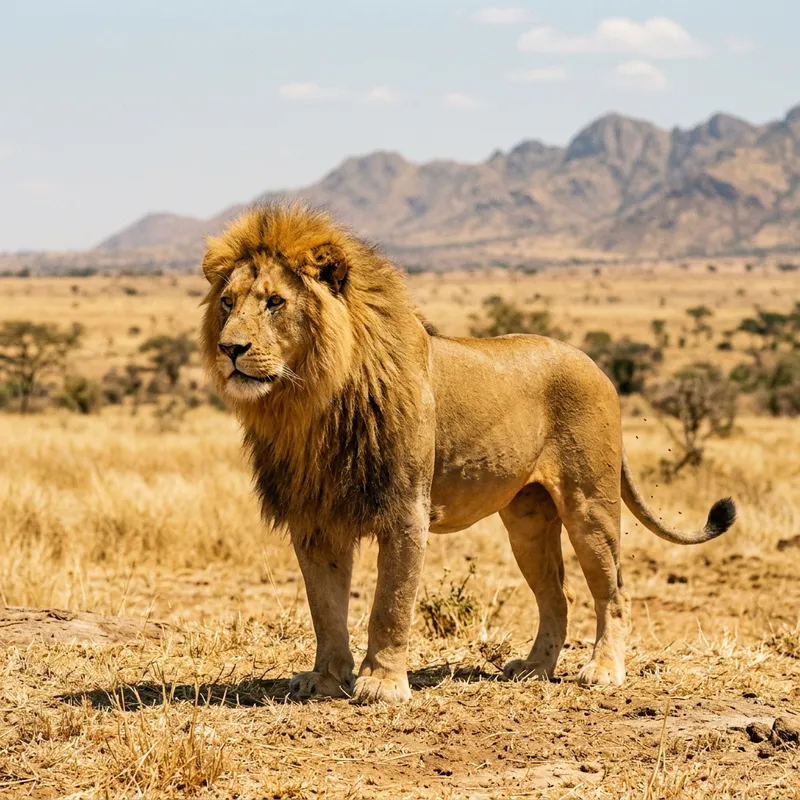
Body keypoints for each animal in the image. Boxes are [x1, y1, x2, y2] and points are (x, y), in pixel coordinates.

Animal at [200, 203, 736, 704]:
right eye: (227, 302)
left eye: (275, 302)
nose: (229, 348)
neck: (311, 403)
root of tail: (596, 365)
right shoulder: (315, 517)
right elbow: (325, 608)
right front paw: (327, 679)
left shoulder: (406, 509)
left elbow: (389, 604)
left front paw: (382, 684)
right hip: (527, 520)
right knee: (557, 595)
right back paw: (534, 668)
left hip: (590, 506)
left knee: (614, 591)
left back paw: (604, 671)